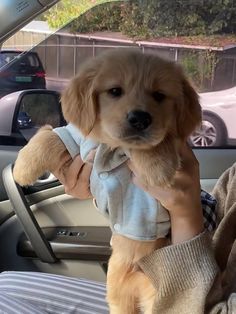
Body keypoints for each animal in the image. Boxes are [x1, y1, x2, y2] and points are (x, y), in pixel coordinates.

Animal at [13, 49, 201, 314]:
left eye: (159, 95)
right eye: (114, 91)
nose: (140, 118)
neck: (113, 146)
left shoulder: (172, 141)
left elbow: (158, 141)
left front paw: (158, 167)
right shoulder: (78, 136)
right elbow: (51, 136)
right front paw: (22, 168)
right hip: (118, 296)